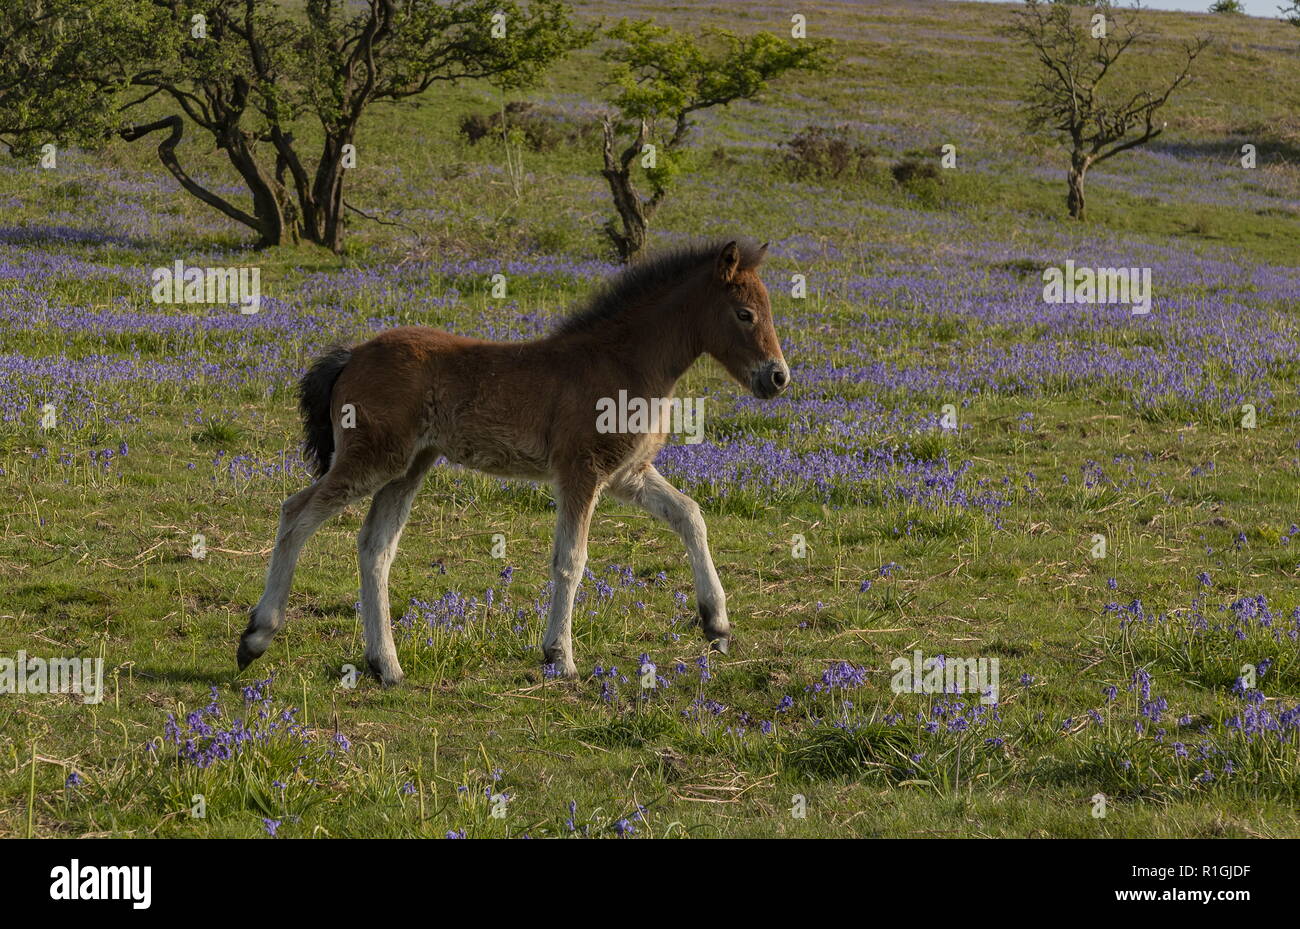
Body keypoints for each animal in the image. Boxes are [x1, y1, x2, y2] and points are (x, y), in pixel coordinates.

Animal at [238, 239, 790, 685]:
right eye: (744, 313)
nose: (778, 377)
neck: (624, 362)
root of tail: (352, 354)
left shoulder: (627, 475)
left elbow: (690, 515)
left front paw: (716, 624)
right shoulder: (581, 471)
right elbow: (571, 560)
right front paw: (560, 657)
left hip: (409, 467)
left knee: (375, 547)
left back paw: (386, 666)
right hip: (374, 459)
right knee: (296, 513)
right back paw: (257, 636)